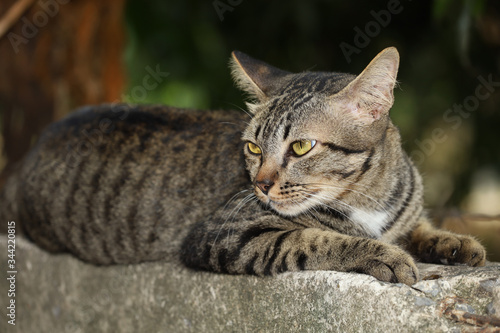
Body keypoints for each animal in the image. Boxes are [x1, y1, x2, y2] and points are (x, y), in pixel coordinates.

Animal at [0, 47, 484, 286]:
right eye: (252, 147)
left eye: (301, 146)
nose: (262, 186)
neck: (368, 197)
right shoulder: (224, 235)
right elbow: (315, 238)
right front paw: (385, 255)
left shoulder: (405, 211)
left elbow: (418, 225)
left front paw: (455, 243)